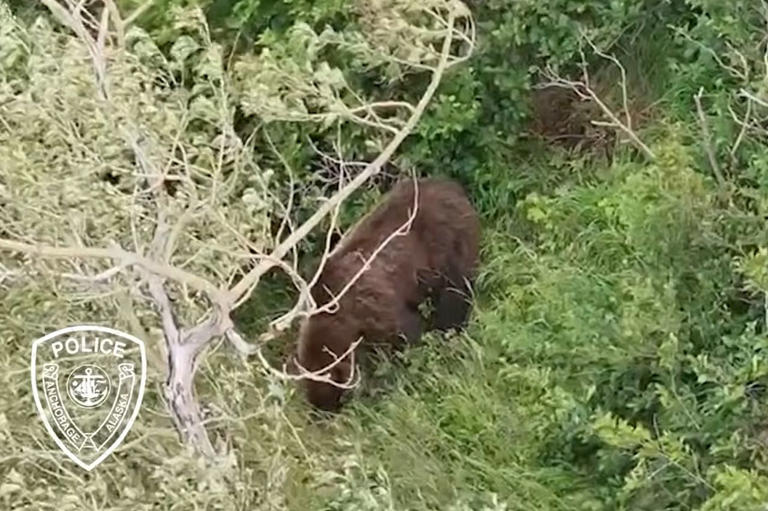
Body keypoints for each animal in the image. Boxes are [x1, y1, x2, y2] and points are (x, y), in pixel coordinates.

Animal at [293, 177, 480, 411]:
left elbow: (405, 332)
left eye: (331, 399)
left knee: (455, 292)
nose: (325, 412)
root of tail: (451, 185)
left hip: (446, 244)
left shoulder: (374, 303)